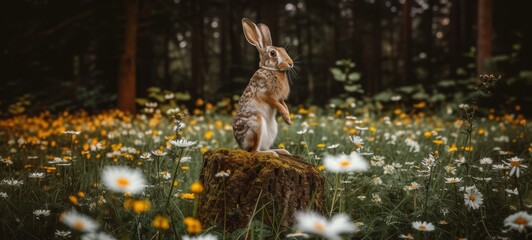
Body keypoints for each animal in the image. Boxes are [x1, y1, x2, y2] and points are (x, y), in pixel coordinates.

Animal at [231, 18, 294, 158]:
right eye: (273, 53)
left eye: (283, 49)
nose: (290, 63)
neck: (271, 70)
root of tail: (242, 146)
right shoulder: (265, 93)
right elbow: (277, 105)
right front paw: (287, 118)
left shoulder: (280, 98)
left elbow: (283, 105)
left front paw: (288, 120)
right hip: (256, 123)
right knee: (254, 151)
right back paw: (272, 154)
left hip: (272, 129)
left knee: (262, 147)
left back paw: (282, 151)